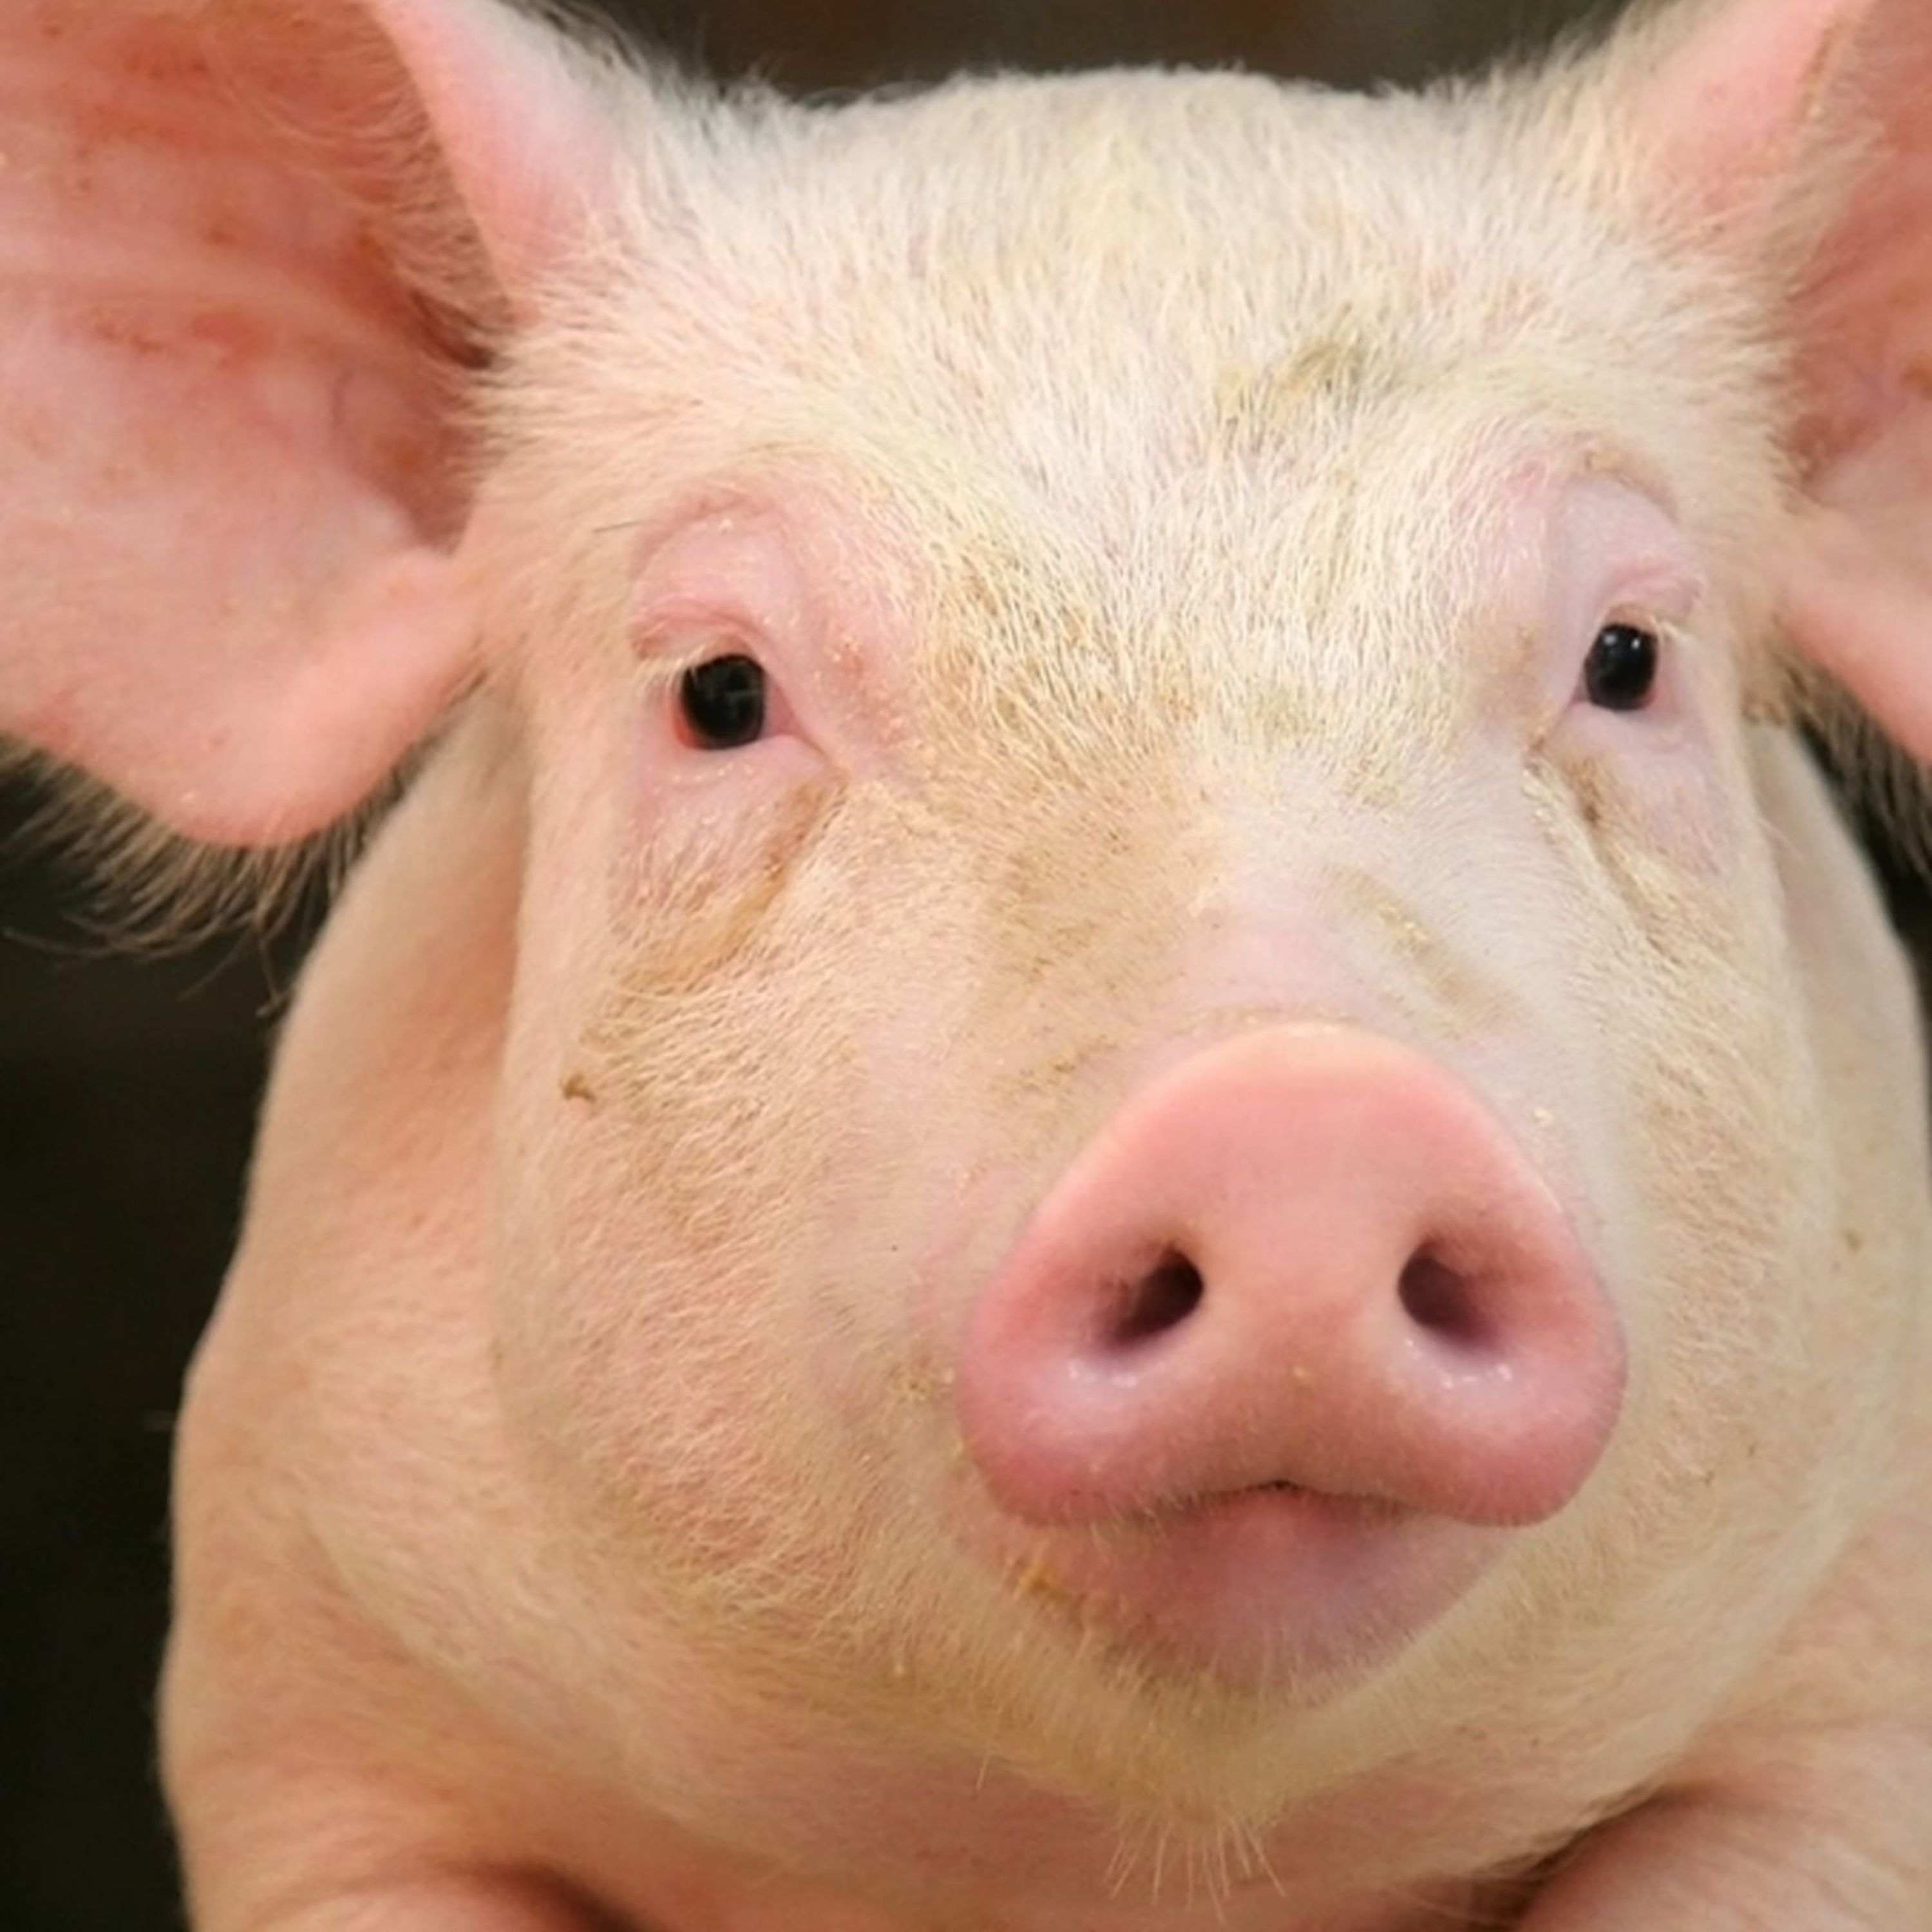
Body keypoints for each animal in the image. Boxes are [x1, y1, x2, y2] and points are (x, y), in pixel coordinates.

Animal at [2, 0, 1930, 1924]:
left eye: (1624, 658)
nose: (1293, 1111)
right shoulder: (316, 1699)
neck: (1133, 1859)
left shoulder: (1847, 1687)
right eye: (720, 692)